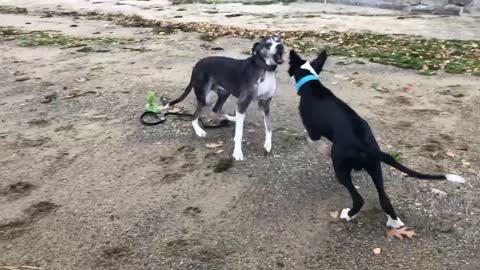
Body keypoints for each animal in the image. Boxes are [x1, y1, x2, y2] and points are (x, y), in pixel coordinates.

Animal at [288, 49, 464, 227]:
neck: (311, 84)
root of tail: (365, 145)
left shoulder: (313, 130)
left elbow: (312, 139)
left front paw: (319, 147)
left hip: (342, 170)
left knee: (358, 199)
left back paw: (348, 215)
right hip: (376, 169)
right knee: (384, 198)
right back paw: (394, 222)